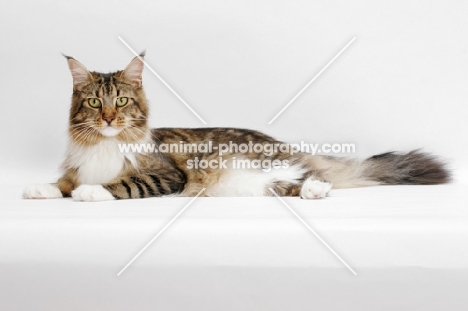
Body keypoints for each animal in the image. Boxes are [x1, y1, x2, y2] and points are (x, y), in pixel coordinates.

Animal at [22, 53, 450, 202]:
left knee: (312, 175)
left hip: (248, 161)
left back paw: (318, 188)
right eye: (95, 103)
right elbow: (63, 182)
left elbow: (122, 183)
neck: (105, 145)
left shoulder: (166, 175)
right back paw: (312, 191)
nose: (109, 118)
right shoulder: (75, 166)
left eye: (122, 101)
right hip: (248, 182)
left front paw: (91, 192)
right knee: (288, 185)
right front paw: (40, 189)